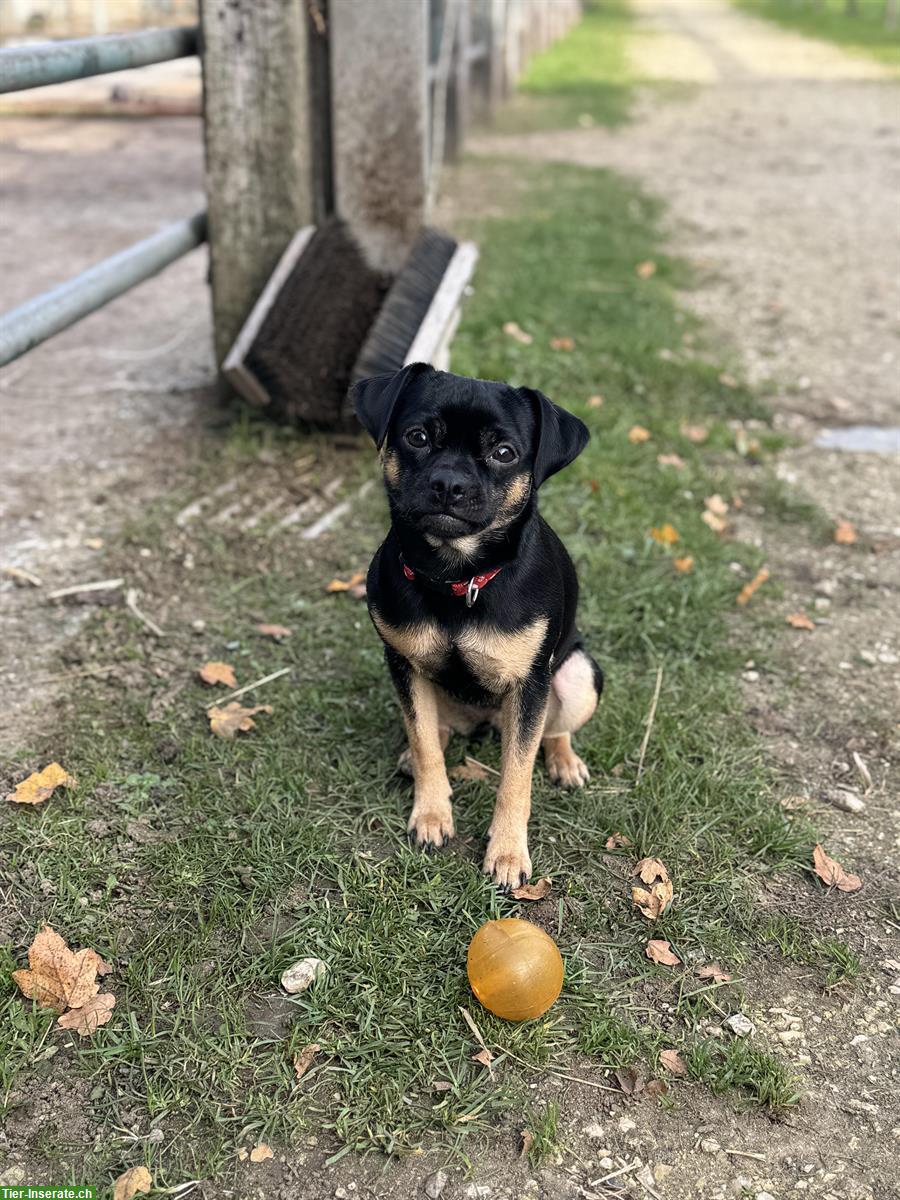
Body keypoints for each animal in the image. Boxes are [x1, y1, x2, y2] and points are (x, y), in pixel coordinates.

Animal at [355, 364, 607, 892]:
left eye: (504, 452)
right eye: (417, 436)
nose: (449, 484)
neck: (456, 576)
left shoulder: (530, 684)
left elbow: (517, 774)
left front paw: (508, 853)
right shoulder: (403, 663)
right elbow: (424, 742)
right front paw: (431, 814)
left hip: (579, 674)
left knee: (552, 731)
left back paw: (564, 761)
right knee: (433, 730)